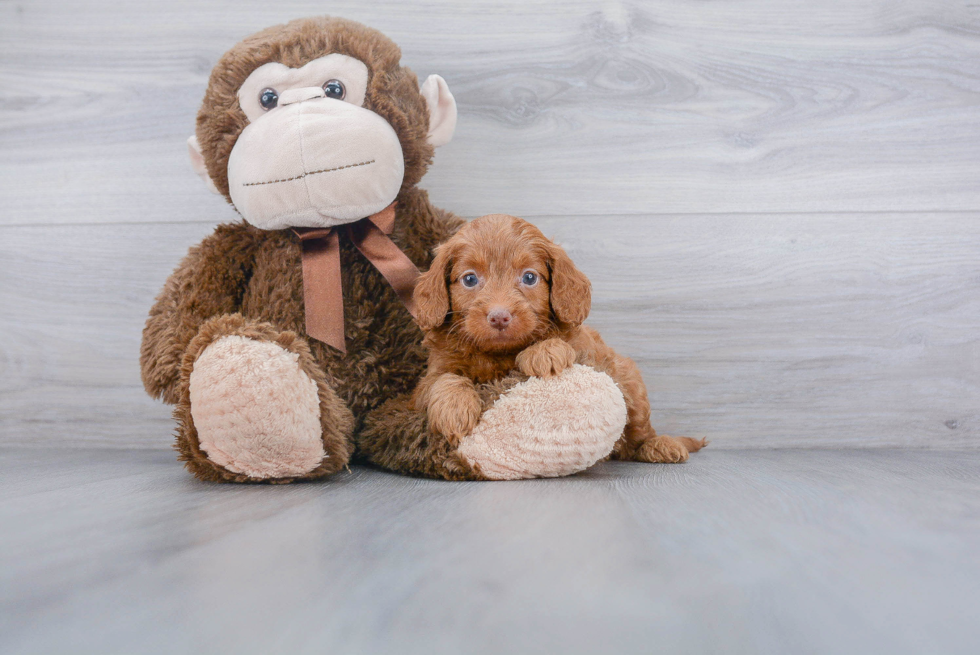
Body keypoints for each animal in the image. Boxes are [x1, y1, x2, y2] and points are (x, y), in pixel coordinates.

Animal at [412, 215, 704, 466]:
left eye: (529, 277)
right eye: (470, 279)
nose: (499, 317)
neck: (499, 354)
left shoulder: (587, 351)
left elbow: (563, 344)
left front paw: (544, 352)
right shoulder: (426, 381)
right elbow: (443, 378)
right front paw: (455, 408)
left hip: (631, 382)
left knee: (639, 433)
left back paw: (661, 445)